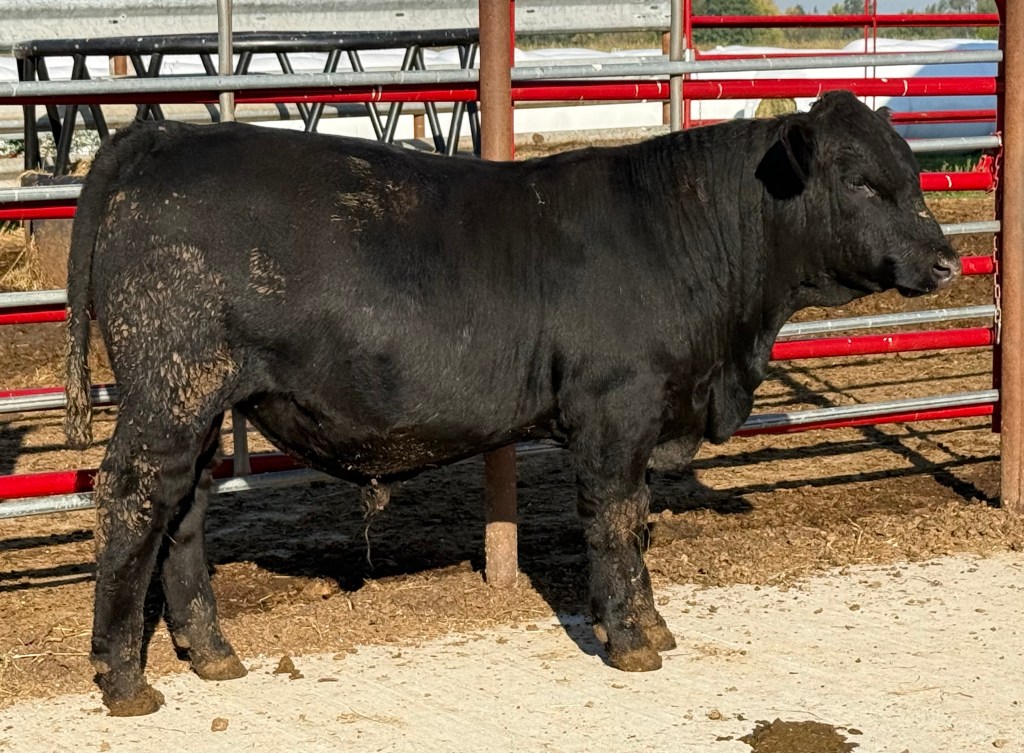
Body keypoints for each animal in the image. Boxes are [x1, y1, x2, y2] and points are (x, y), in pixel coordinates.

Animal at [64, 90, 959, 715]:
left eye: (915, 177)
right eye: (860, 182)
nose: (948, 260)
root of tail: (164, 137)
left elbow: (635, 521)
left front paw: (649, 623)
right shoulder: (615, 412)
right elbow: (616, 521)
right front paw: (631, 639)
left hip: (200, 398)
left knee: (183, 508)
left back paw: (213, 651)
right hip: (171, 386)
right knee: (132, 500)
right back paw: (123, 679)